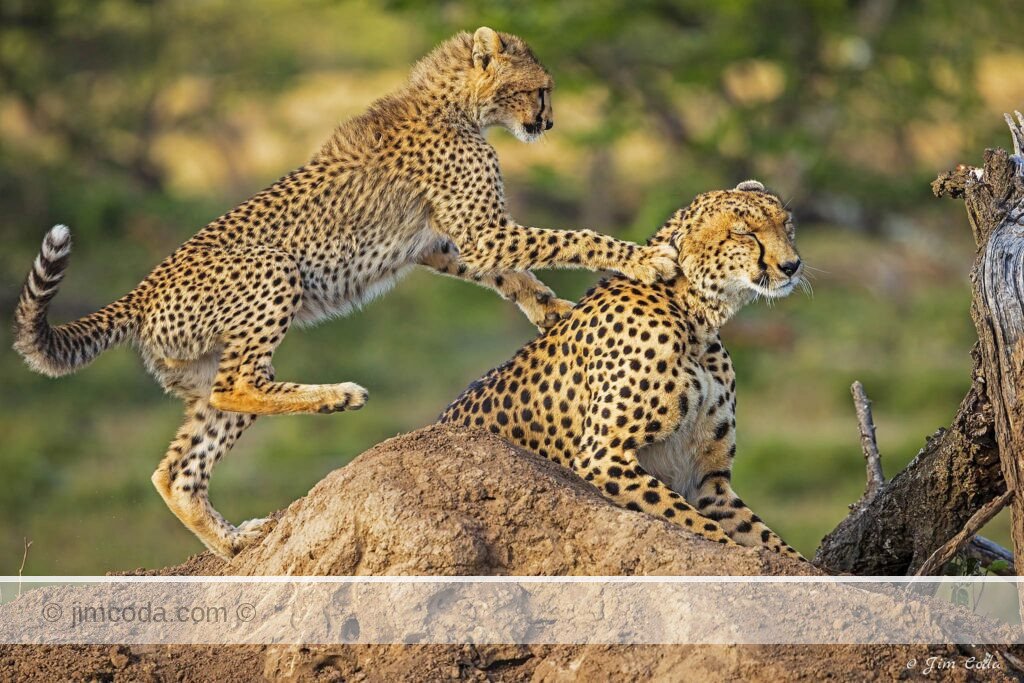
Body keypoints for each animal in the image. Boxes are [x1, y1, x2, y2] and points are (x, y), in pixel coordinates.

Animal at [12, 27, 677, 560]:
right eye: (542, 89)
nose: (549, 123)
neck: (455, 103)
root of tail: (141, 291)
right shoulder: (480, 232)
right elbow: (568, 238)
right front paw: (644, 260)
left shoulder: (442, 242)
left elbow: (513, 275)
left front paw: (555, 311)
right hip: (274, 273)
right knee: (240, 384)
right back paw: (336, 396)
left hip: (202, 373)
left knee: (180, 467)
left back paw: (235, 543)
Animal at [439, 180, 805, 560]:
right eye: (744, 232)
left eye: (786, 226)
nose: (792, 265)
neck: (694, 316)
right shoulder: (601, 456)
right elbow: (698, 526)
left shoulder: (708, 480)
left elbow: (770, 543)